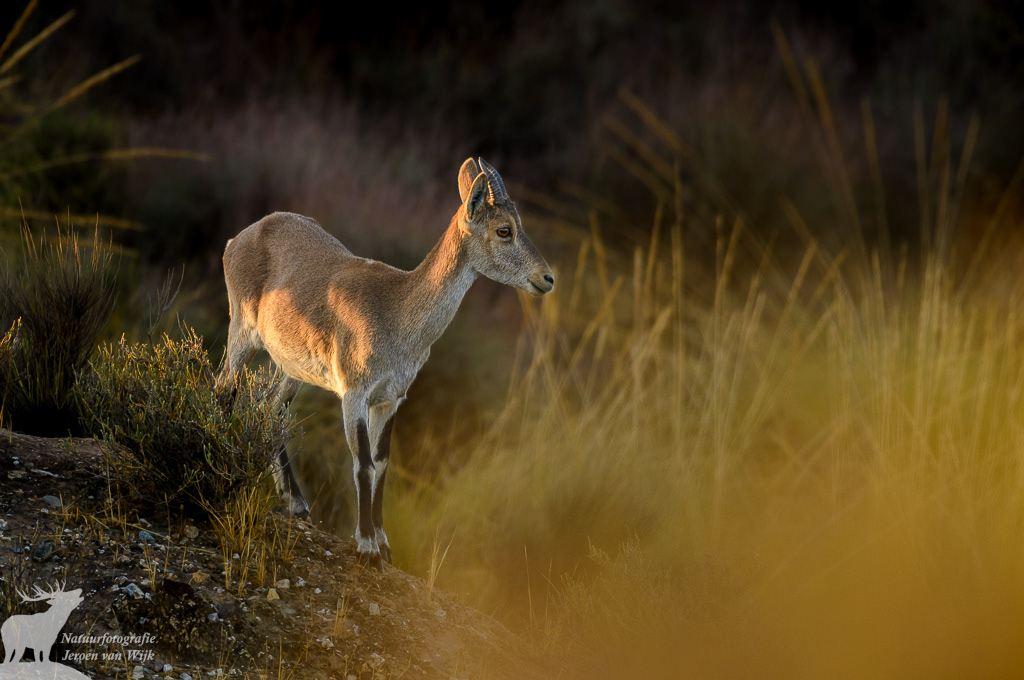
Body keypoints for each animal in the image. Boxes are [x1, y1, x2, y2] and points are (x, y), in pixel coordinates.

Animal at [219, 157, 554, 568]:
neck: (396, 312)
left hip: (291, 367)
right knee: (225, 390)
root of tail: (238, 239)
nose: (547, 278)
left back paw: (296, 503)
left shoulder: (390, 398)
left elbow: (382, 463)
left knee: (269, 408)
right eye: (504, 230)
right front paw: (366, 546)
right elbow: (362, 463)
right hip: (242, 332)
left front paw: (384, 544)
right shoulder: (354, 392)